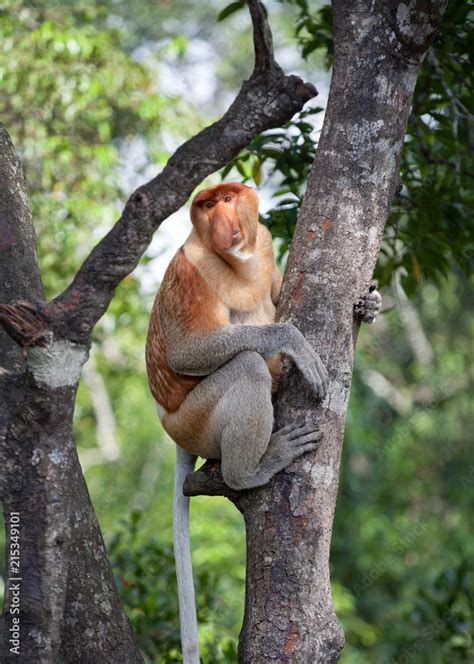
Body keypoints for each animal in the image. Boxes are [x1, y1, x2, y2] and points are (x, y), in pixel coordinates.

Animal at [144, 182, 382, 664]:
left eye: (226, 200)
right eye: (206, 205)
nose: (221, 223)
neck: (238, 260)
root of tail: (173, 428)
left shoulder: (266, 246)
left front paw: (371, 303)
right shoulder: (192, 271)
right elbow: (184, 351)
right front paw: (294, 342)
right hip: (194, 419)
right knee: (247, 367)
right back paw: (253, 468)